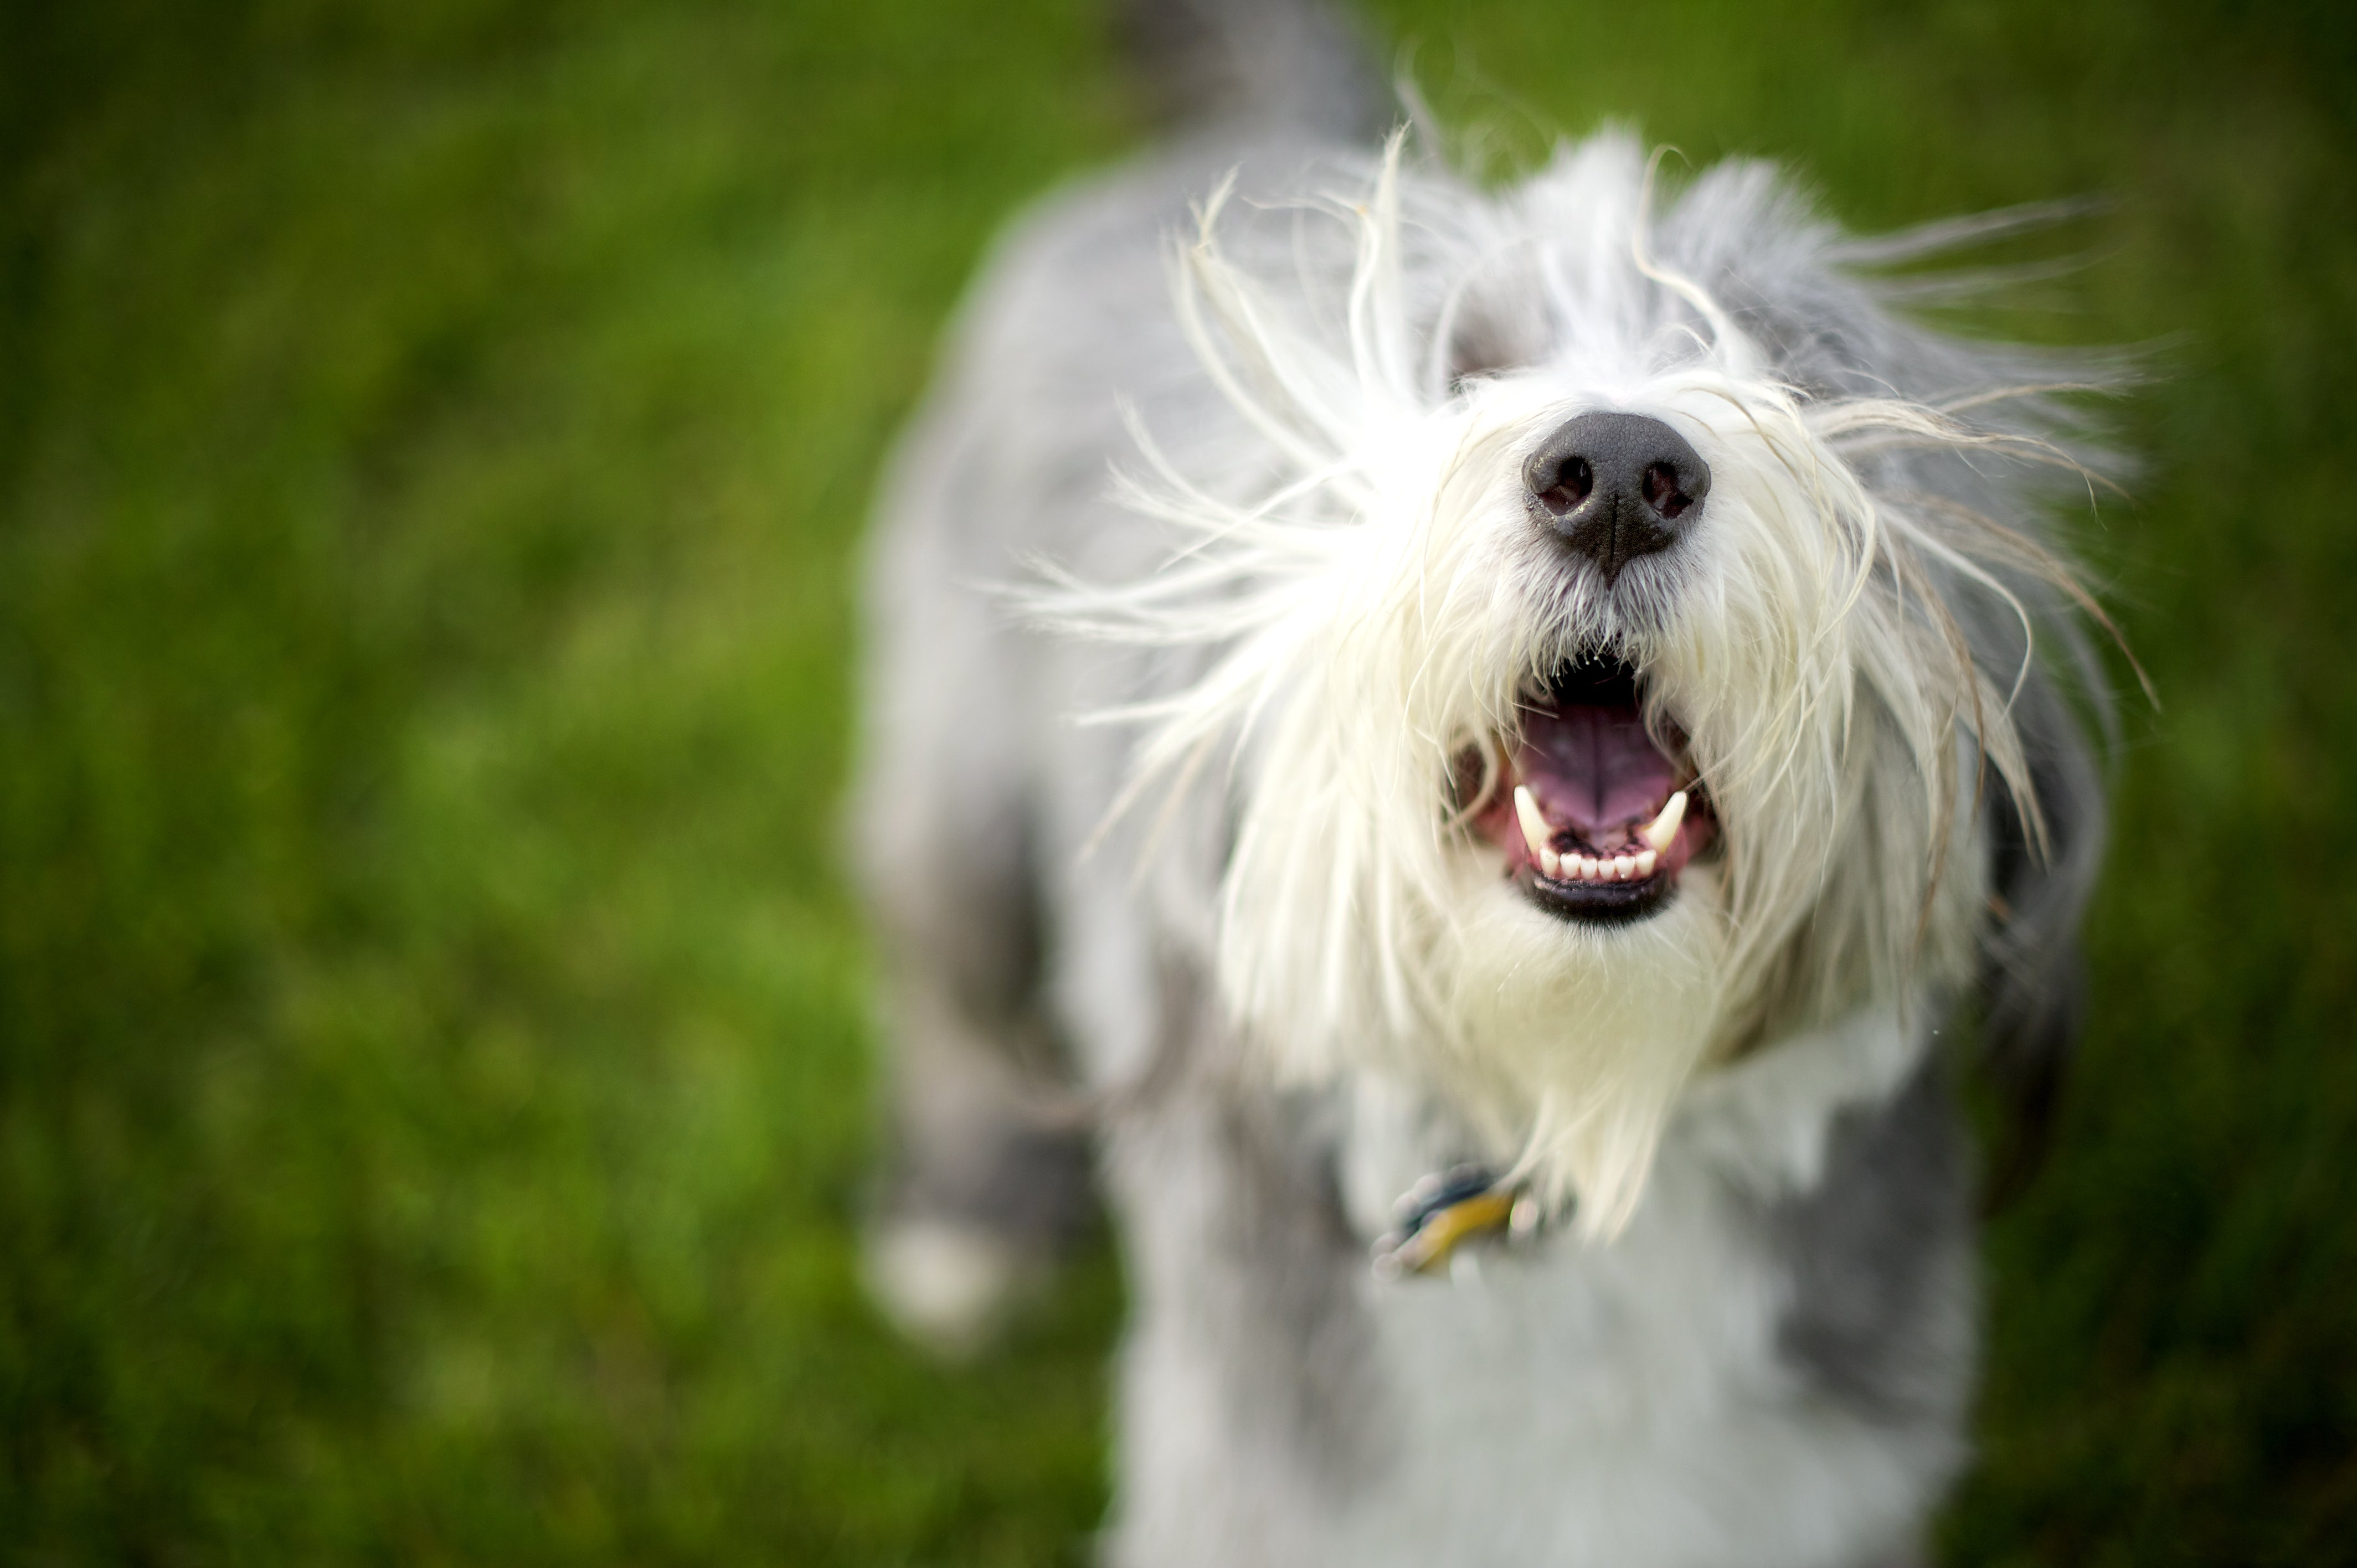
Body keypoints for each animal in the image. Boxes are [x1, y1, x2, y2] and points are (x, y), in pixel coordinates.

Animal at [858, 6, 2112, 1556]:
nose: (1622, 471)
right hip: (960, 782)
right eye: (1459, 366)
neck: (1577, 1110)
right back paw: (965, 1221)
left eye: (1791, 369)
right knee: (952, 987)